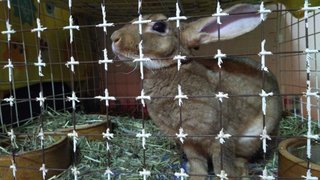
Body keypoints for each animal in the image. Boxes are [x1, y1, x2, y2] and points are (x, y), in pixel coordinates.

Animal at [111, 3, 282, 180]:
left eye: (159, 26)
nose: (114, 37)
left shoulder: (221, 137)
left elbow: (223, 165)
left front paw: (227, 175)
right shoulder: (189, 142)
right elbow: (197, 164)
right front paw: (195, 176)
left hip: (253, 137)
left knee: (243, 156)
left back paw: (242, 170)